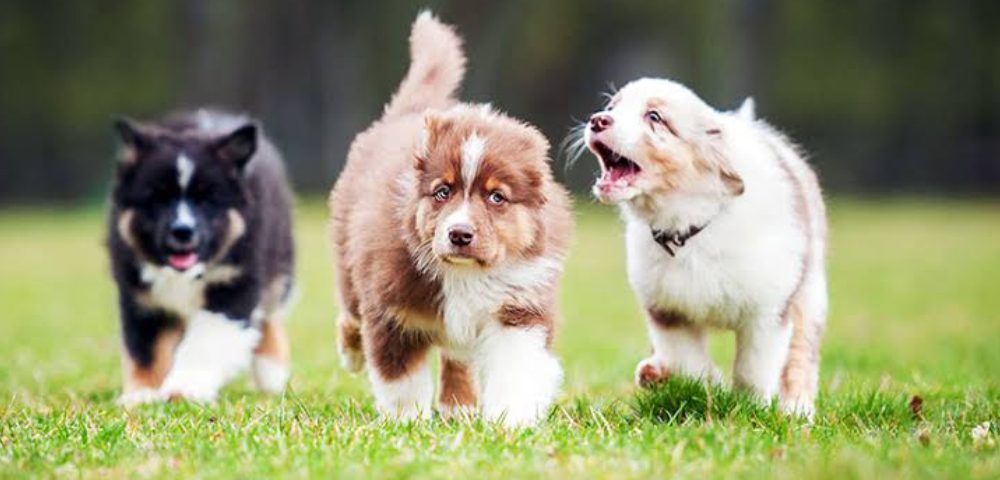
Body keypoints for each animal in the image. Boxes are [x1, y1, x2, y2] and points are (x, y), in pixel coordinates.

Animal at [111, 109, 296, 404]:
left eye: (207, 200)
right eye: (157, 198)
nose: (182, 231)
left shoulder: (235, 284)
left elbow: (206, 341)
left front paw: (185, 388)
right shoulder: (141, 299)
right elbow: (145, 350)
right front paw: (142, 394)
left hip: (279, 266)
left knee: (269, 314)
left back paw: (271, 372)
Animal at [332, 11, 576, 426]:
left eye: (496, 197)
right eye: (442, 192)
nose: (460, 234)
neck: (464, 275)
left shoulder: (520, 307)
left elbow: (516, 369)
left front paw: (509, 422)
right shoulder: (391, 312)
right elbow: (401, 380)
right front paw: (408, 423)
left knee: (457, 356)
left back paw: (458, 407)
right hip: (349, 260)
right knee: (350, 314)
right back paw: (351, 353)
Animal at [584, 78, 824, 416]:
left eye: (655, 117)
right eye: (612, 107)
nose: (597, 120)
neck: (688, 229)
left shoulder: (767, 310)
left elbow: (753, 369)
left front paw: (750, 408)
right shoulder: (667, 312)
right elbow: (690, 363)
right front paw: (708, 386)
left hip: (810, 293)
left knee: (802, 356)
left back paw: (797, 410)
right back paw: (655, 373)